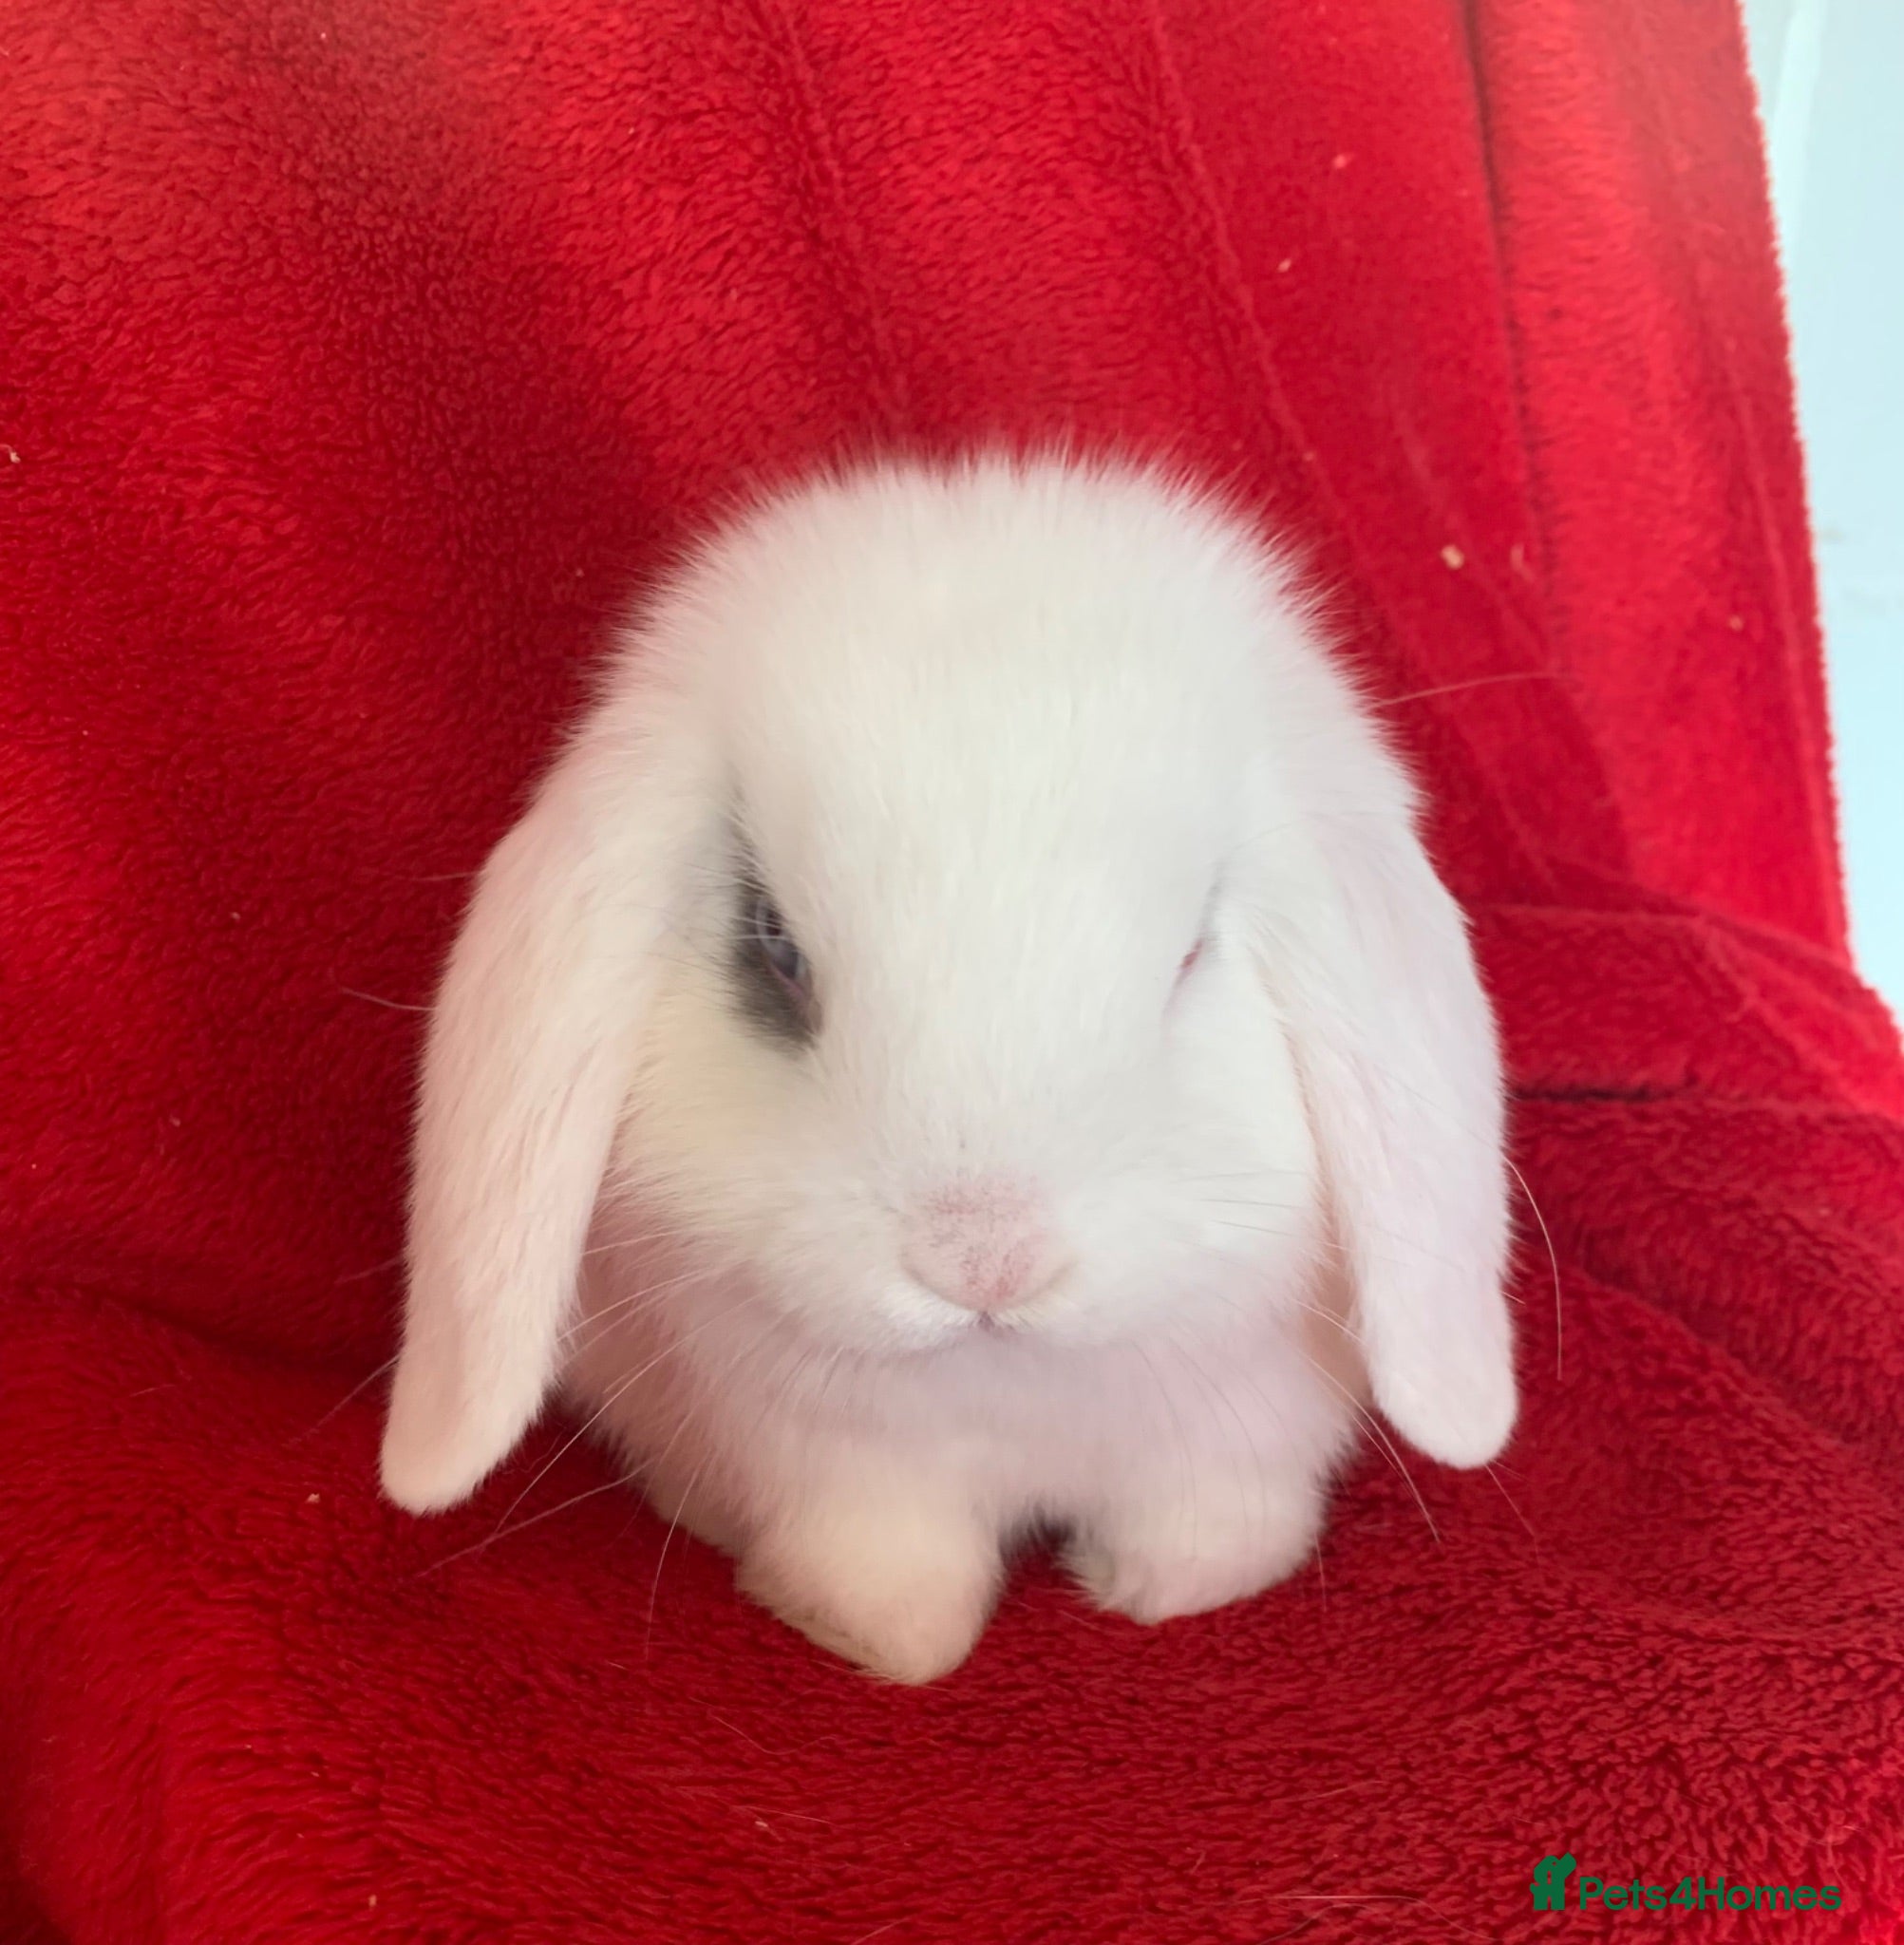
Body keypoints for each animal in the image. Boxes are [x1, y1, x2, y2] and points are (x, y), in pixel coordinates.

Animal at [379, 453, 1516, 1684]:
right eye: (774, 949)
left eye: (1185, 954)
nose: (984, 1262)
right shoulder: (839, 1469)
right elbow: (888, 1572)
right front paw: (872, 1636)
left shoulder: (1231, 1437)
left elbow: (1210, 1525)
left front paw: (1166, 1592)